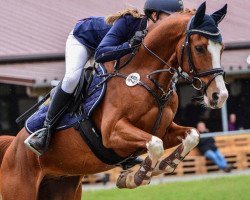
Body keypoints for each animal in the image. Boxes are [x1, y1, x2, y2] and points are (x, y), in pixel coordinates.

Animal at [0, 2, 229, 199]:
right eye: (199, 48)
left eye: (222, 48)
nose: (219, 96)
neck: (147, 77)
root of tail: (13, 146)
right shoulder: (113, 133)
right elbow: (155, 144)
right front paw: (135, 177)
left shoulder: (164, 128)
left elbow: (192, 136)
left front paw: (163, 167)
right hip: (20, 190)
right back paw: (39, 139)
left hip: (64, 185)